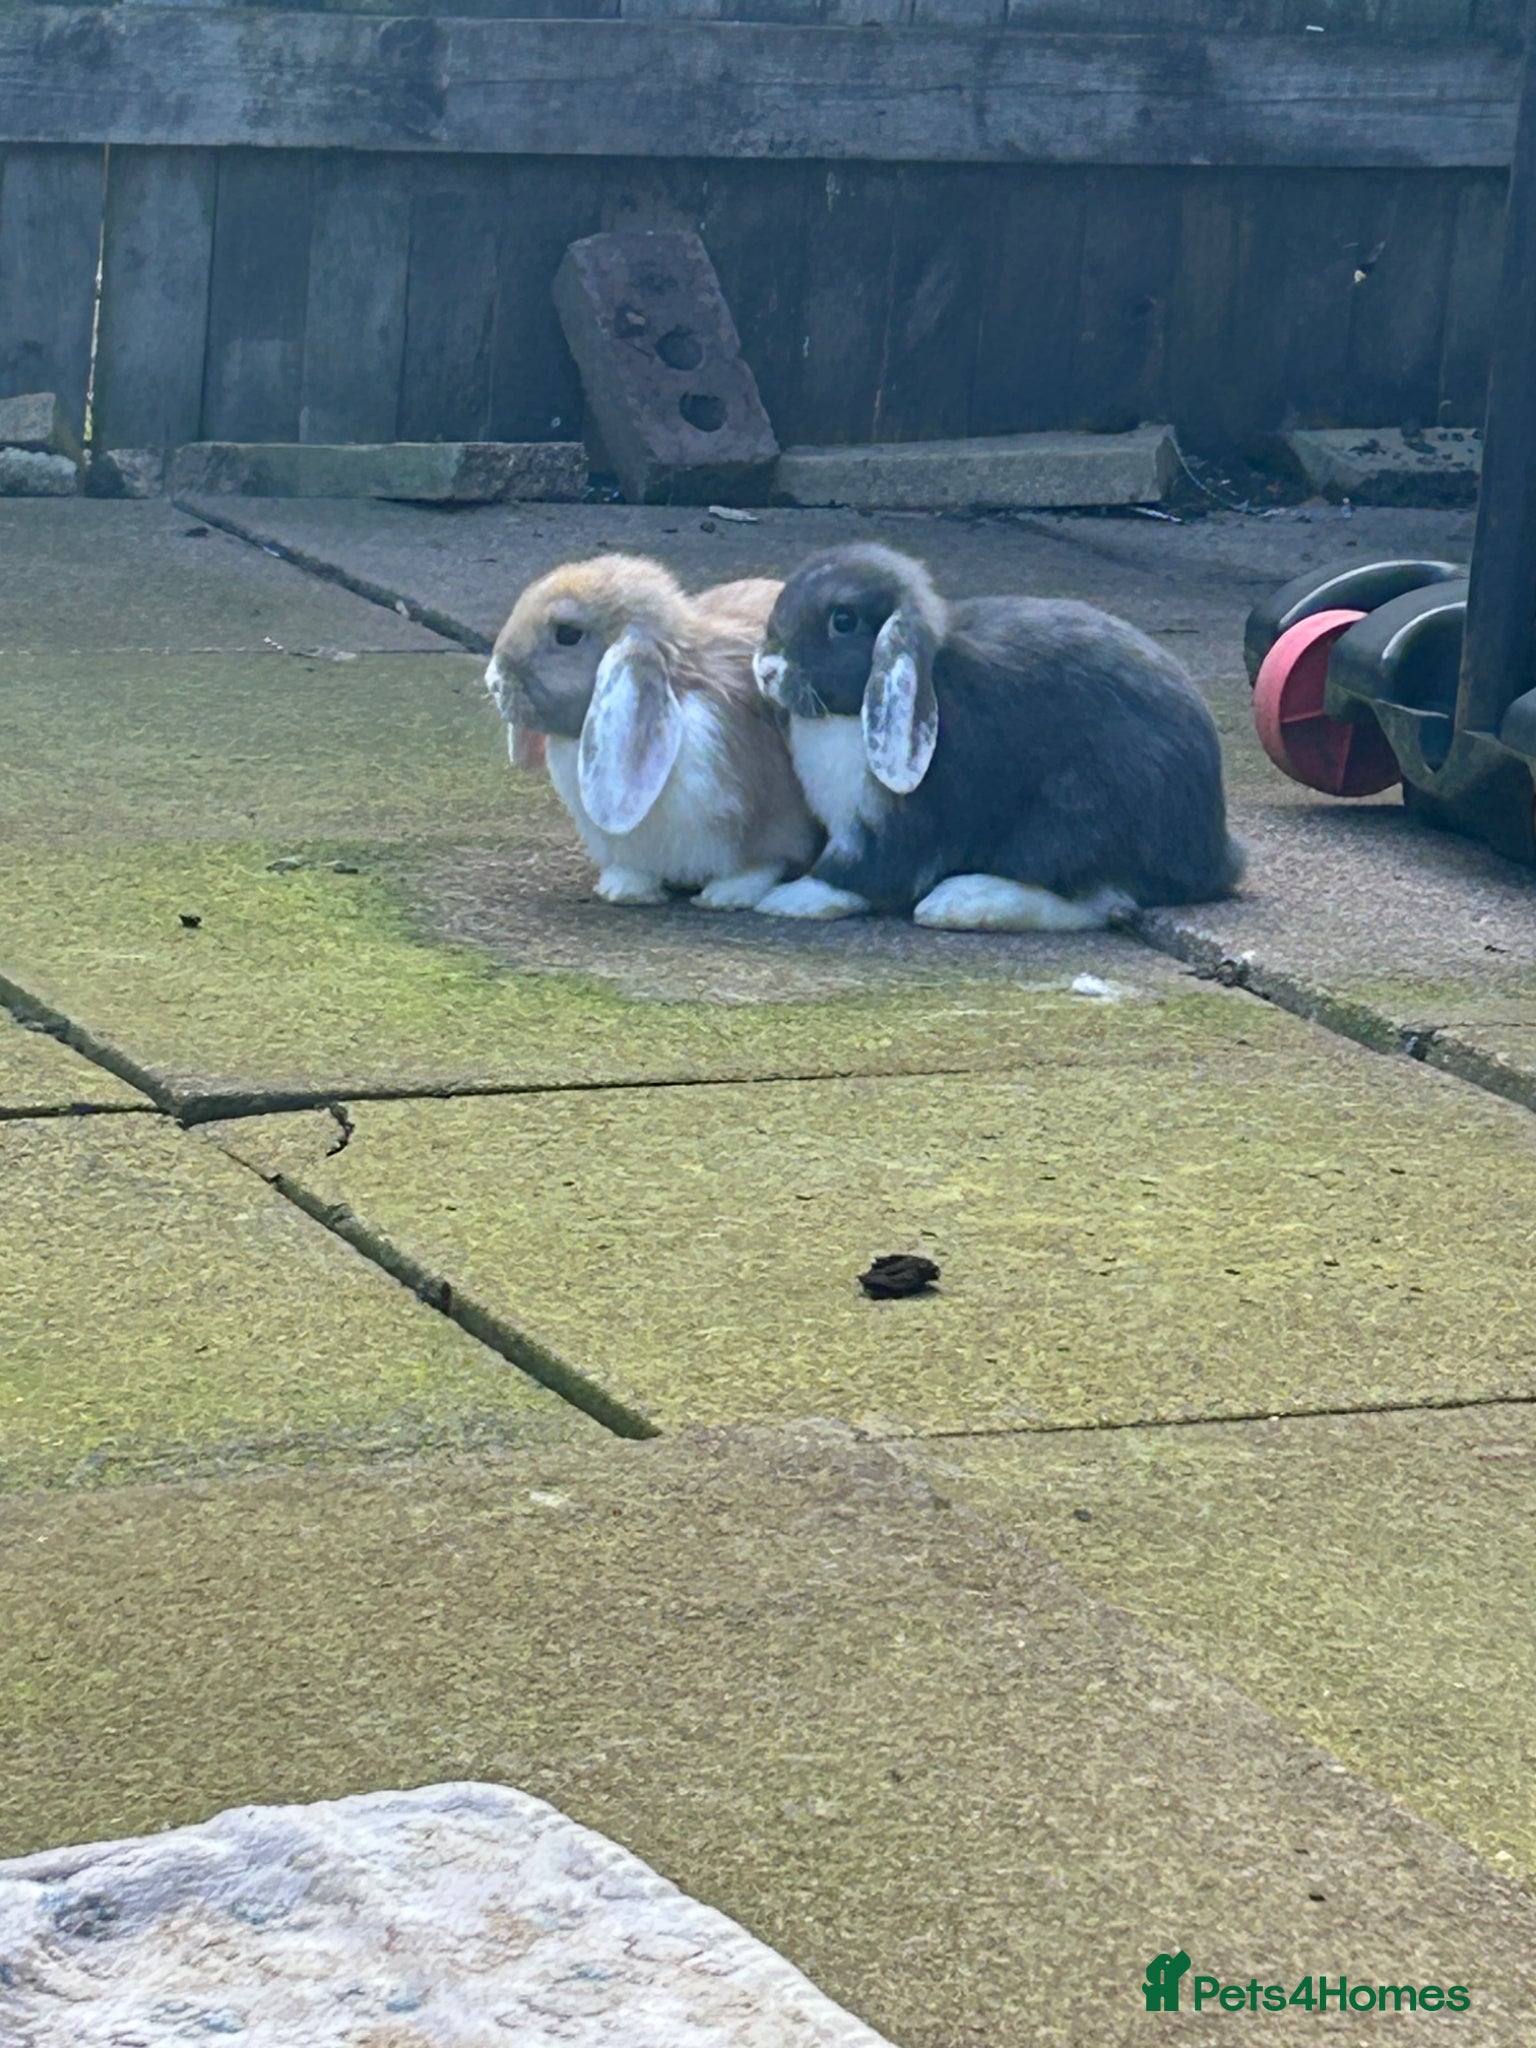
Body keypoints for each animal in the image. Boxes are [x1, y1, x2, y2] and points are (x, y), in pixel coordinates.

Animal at [486, 555, 819, 909]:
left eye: (567, 633)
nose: (494, 682)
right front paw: (624, 890)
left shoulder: (774, 822)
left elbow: (762, 863)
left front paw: (725, 896)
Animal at [750, 542, 1244, 930]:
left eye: (843, 619)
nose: (767, 671)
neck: (844, 718)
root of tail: (1216, 855)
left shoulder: (884, 828)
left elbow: (857, 874)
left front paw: (787, 899)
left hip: (1077, 816)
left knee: (1097, 896)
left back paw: (960, 902)